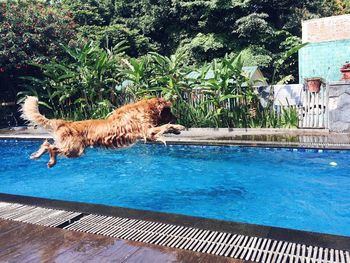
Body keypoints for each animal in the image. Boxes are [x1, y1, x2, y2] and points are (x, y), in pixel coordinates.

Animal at [21, 96, 186, 168]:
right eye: (169, 111)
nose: (176, 116)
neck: (145, 108)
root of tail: (65, 122)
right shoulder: (148, 131)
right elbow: (164, 127)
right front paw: (178, 126)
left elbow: (165, 128)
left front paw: (176, 129)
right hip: (74, 149)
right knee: (51, 147)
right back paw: (51, 161)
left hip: (73, 149)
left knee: (46, 144)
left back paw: (36, 155)